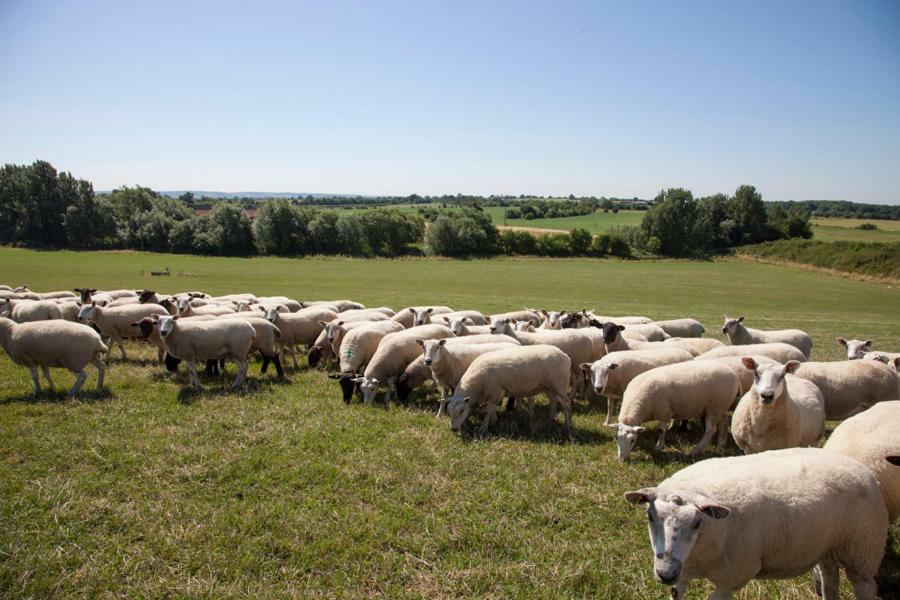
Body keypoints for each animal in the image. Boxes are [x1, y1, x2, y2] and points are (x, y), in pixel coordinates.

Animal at [444, 344, 576, 434]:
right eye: (449, 411)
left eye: (462, 410)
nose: (453, 429)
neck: (476, 386)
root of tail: (565, 356)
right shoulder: (495, 395)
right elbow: (492, 410)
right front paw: (494, 421)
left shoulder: (495, 392)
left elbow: (488, 411)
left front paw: (484, 428)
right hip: (549, 387)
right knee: (554, 401)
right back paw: (550, 419)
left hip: (559, 386)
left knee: (567, 405)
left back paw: (568, 426)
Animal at [612, 358, 740, 462]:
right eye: (616, 438)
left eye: (633, 440)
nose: (621, 459)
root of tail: (733, 374)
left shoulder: (664, 412)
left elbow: (661, 431)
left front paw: (658, 447)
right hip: (721, 406)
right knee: (724, 422)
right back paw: (721, 443)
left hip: (714, 407)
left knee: (710, 430)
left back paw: (696, 450)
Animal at [624, 448, 884, 600]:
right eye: (650, 516)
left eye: (698, 523)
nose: (665, 573)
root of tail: (858, 465)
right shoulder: (683, 572)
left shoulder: (731, 578)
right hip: (827, 545)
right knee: (830, 578)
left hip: (862, 551)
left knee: (865, 586)